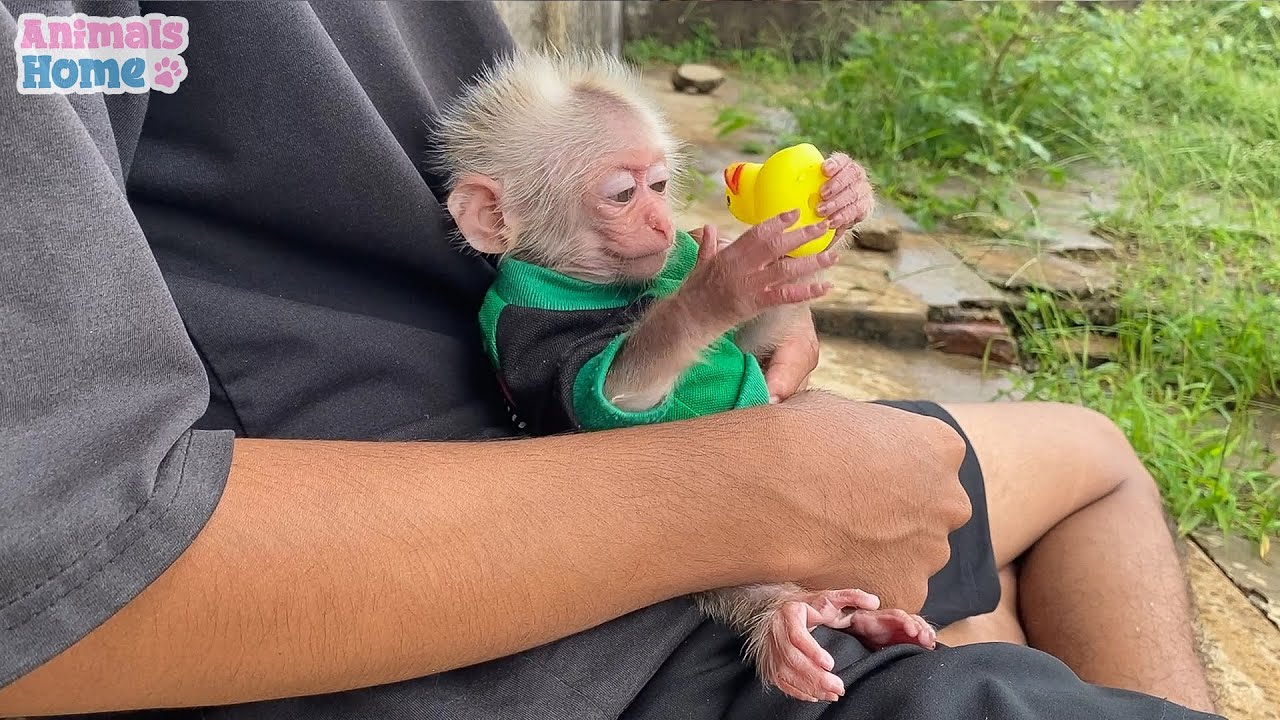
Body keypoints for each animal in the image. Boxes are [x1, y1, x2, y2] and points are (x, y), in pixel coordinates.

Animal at [433, 50, 936, 704]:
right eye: (623, 195)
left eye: (659, 186)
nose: (662, 223)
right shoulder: (526, 328)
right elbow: (606, 393)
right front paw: (722, 284)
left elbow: (750, 345)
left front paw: (847, 194)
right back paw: (787, 616)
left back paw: (870, 619)